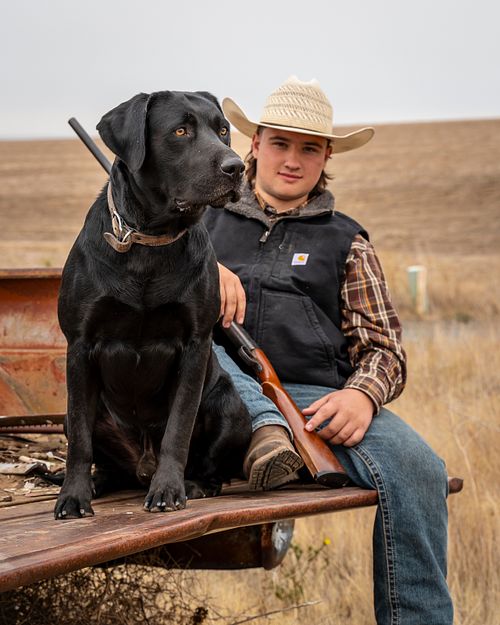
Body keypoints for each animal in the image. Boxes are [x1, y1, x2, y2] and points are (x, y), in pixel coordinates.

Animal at [54, 90, 252, 519]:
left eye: (223, 130)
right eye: (180, 131)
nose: (237, 167)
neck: (149, 241)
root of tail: (140, 466)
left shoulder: (194, 346)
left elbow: (178, 427)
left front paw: (168, 490)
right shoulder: (79, 346)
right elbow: (79, 439)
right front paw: (73, 496)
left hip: (231, 408)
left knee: (211, 464)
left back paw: (195, 484)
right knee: (99, 453)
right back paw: (99, 482)